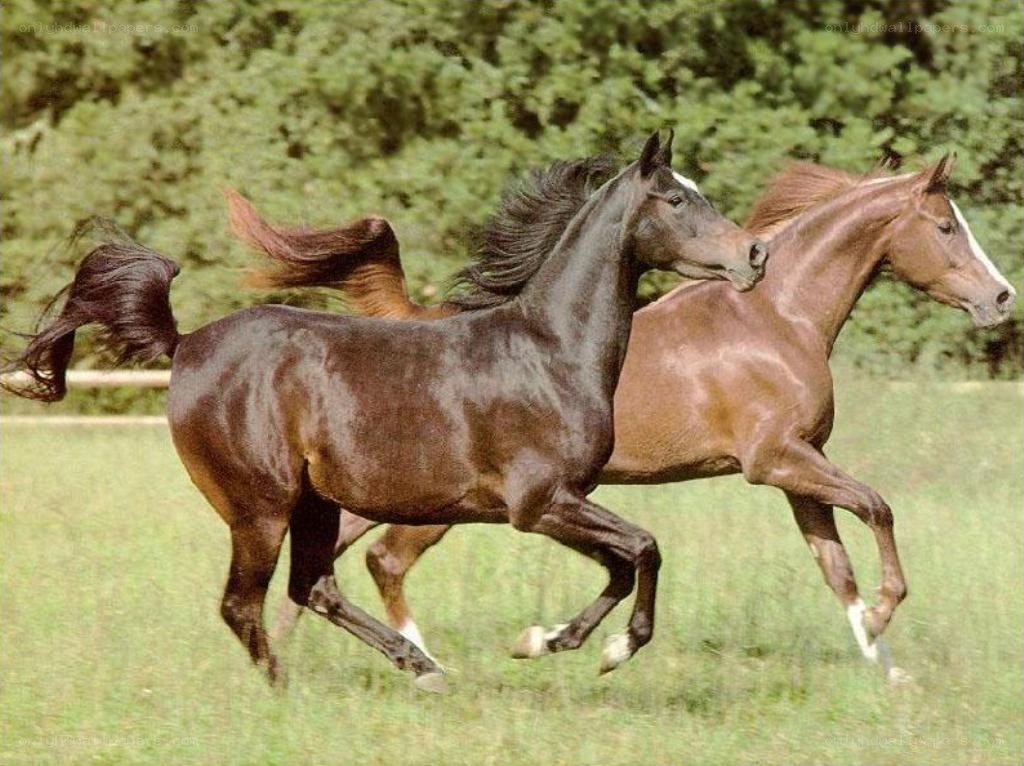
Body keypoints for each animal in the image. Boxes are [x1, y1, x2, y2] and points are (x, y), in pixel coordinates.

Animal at [1, 131, 770, 691]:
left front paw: (550, 640)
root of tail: (186, 343)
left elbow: (623, 563)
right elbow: (643, 548)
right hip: (260, 508)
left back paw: (423, 669)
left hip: (313, 504)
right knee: (244, 603)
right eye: (673, 199)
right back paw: (290, 691)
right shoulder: (540, 503)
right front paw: (599, 648)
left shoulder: (563, 501)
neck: (549, 352)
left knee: (314, 588)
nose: (755, 253)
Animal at [230, 153, 1015, 682]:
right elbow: (877, 508)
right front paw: (885, 618)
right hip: (434, 504)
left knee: (336, 558)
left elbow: (835, 567)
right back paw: (412, 658)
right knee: (381, 559)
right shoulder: (777, 461)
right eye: (946, 226)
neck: (776, 315)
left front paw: (888, 669)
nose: (1003, 297)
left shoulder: (798, 471)